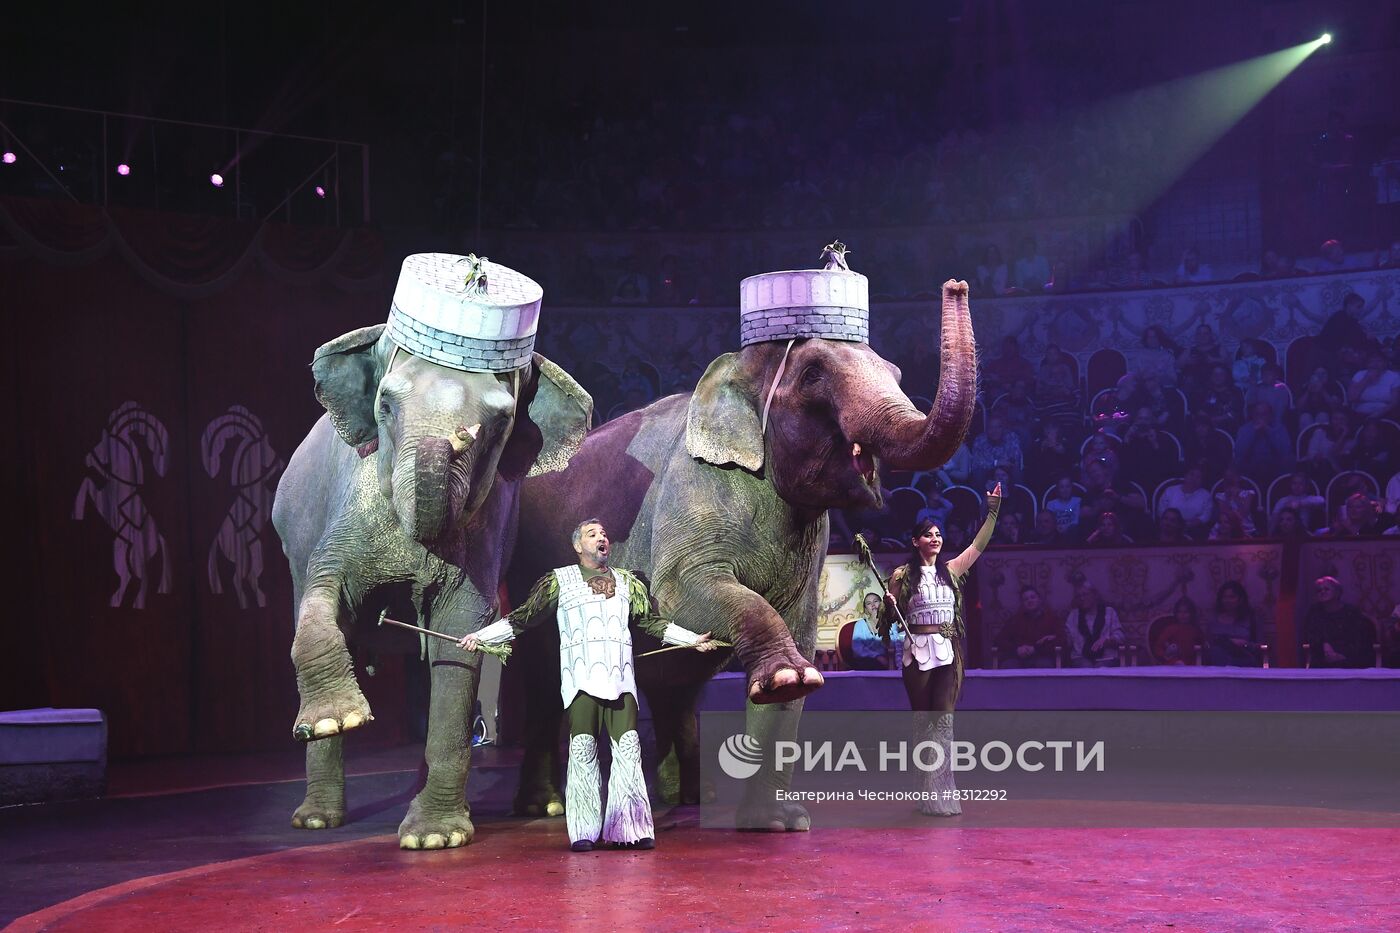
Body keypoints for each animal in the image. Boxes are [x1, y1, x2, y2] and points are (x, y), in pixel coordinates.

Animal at [273, 252, 590, 840]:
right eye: (386, 406)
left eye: (500, 422)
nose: (459, 436)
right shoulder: (346, 510)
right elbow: (323, 598)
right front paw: (337, 718)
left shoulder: (485, 531)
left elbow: (459, 638)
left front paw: (434, 837)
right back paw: (316, 820)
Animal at [509, 270, 980, 829]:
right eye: (814, 373)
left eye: (895, 371)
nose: (956, 285)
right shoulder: (693, 485)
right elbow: (677, 596)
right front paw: (789, 675)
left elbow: (798, 634)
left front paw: (778, 822)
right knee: (542, 673)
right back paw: (544, 806)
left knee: (676, 685)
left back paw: (690, 797)